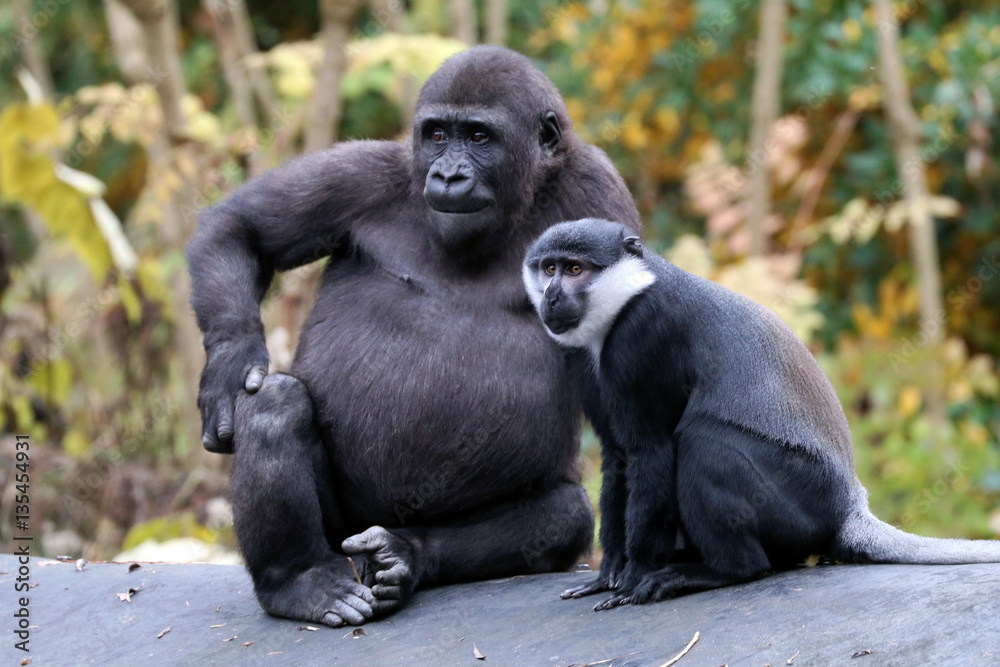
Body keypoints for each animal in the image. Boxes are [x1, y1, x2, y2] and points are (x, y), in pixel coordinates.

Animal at [522, 217, 1000, 610]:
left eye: (575, 270)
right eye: (548, 269)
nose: (551, 296)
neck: (625, 298)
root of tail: (848, 507)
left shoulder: (642, 334)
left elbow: (650, 450)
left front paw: (633, 575)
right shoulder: (579, 358)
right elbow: (618, 458)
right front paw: (608, 576)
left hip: (800, 499)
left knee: (704, 444)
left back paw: (723, 569)